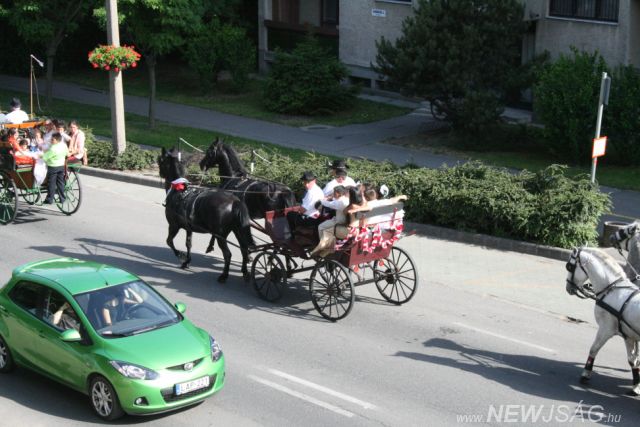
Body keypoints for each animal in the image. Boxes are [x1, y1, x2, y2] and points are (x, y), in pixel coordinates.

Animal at [158, 147, 254, 283]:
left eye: (160, 161)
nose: (160, 173)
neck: (179, 191)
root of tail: (235, 201)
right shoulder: (188, 228)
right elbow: (188, 244)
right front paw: (186, 261)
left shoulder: (173, 225)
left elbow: (169, 241)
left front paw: (181, 256)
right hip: (238, 230)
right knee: (244, 249)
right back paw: (245, 272)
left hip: (221, 235)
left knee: (228, 254)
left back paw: (224, 275)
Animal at [565, 247, 640, 395]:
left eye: (569, 266)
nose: (568, 288)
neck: (612, 289)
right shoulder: (628, 335)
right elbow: (633, 361)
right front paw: (636, 385)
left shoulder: (606, 329)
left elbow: (593, 349)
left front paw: (585, 374)